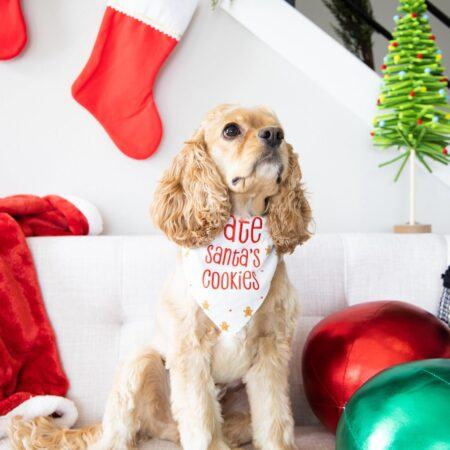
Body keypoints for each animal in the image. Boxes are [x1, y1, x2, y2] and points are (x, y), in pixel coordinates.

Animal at [11, 104, 312, 450]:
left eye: (281, 130)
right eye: (231, 130)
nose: (274, 136)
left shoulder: (271, 350)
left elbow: (274, 419)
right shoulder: (190, 350)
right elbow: (201, 420)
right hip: (141, 362)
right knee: (119, 434)